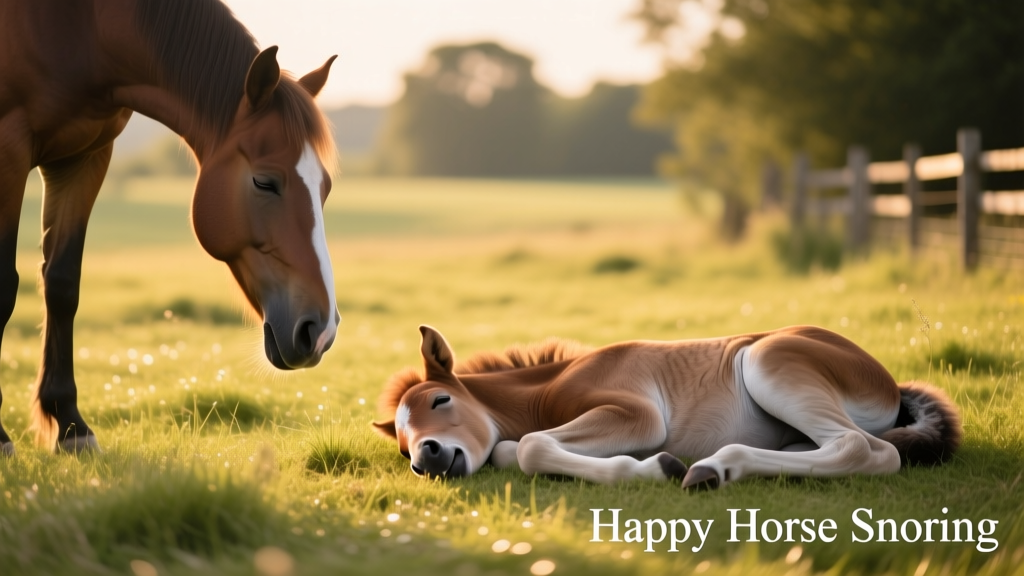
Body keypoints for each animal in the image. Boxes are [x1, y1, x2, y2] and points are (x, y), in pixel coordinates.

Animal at [0, 0, 340, 454]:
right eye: (265, 182)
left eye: (325, 187)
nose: (320, 331)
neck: (82, 29)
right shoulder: (9, 149)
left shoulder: (84, 158)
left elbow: (62, 285)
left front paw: (72, 426)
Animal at [374, 325, 961, 488]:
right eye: (402, 445)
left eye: (441, 398)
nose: (425, 457)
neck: (549, 387)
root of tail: (890, 384)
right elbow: (507, 450)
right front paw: (653, 466)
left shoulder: (636, 414)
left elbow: (531, 447)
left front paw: (660, 466)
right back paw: (717, 465)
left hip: (768, 360)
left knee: (865, 449)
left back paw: (712, 467)